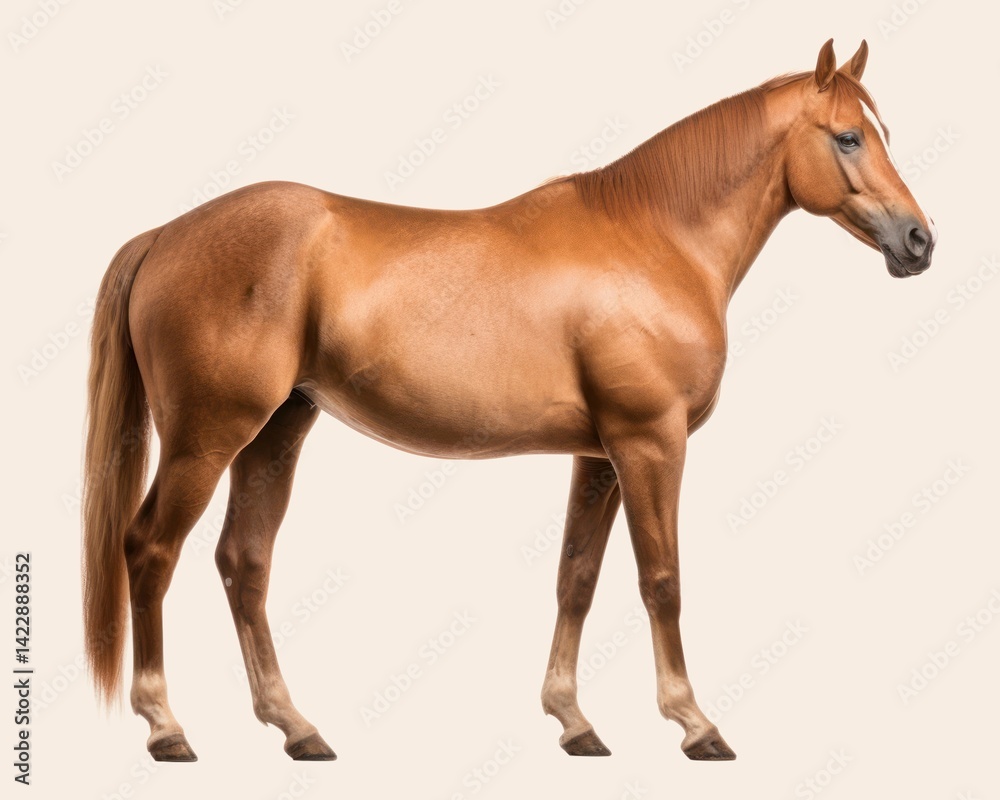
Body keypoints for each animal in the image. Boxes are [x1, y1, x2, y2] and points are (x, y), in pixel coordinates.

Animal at [82, 39, 935, 763]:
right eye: (848, 137)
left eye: (881, 131)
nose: (920, 241)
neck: (652, 237)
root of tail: (167, 234)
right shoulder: (650, 442)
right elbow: (661, 579)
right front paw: (695, 724)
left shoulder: (600, 455)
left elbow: (576, 579)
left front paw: (574, 721)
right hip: (206, 438)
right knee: (151, 550)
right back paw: (166, 728)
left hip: (275, 432)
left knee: (244, 560)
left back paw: (297, 728)